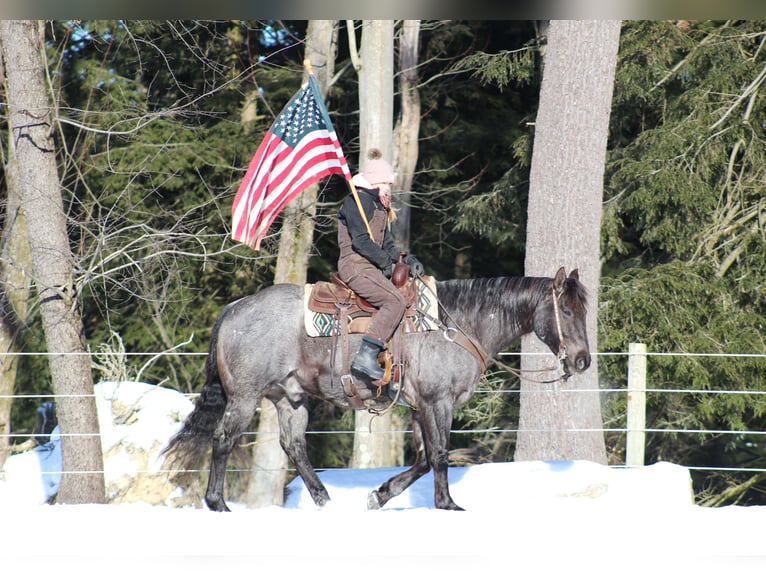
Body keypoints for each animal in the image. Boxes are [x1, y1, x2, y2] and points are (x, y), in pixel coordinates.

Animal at [165, 268, 592, 512]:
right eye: (567, 310)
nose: (583, 360)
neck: (457, 324)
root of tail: (235, 307)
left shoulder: (419, 406)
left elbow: (422, 459)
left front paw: (379, 495)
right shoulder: (438, 402)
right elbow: (440, 455)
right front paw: (448, 505)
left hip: (291, 397)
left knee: (294, 446)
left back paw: (325, 502)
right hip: (245, 396)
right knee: (223, 439)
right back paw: (218, 504)